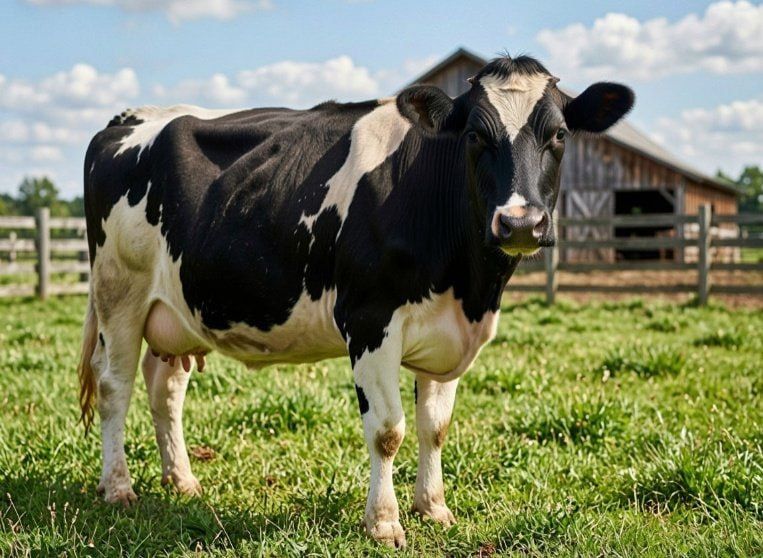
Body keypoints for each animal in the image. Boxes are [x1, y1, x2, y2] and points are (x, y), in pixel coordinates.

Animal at [78, 54, 633, 547]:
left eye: (559, 135)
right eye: (475, 135)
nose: (520, 223)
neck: (470, 284)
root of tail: (129, 118)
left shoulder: (448, 331)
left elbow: (436, 428)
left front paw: (433, 508)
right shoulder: (370, 320)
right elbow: (388, 430)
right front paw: (384, 523)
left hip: (175, 312)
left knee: (165, 390)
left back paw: (182, 481)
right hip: (118, 293)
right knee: (114, 386)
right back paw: (119, 487)